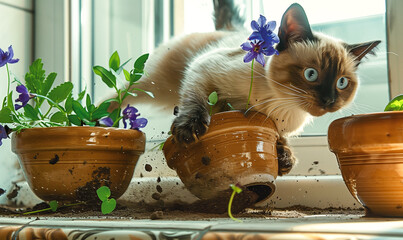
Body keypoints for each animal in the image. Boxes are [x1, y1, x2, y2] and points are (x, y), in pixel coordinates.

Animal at [121, 0, 380, 175]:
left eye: (342, 82)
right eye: (311, 74)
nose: (328, 101)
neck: (282, 105)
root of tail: (230, 30)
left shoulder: (281, 127)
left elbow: (279, 138)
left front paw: (283, 158)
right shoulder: (204, 67)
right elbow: (196, 102)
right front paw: (189, 130)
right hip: (152, 84)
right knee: (119, 95)